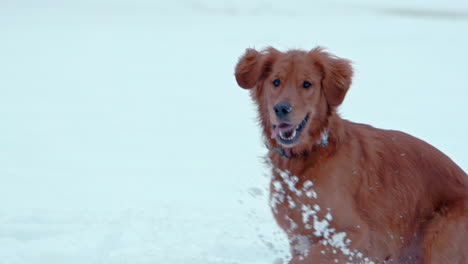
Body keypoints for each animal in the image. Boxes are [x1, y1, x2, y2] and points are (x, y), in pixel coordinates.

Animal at [234, 48, 468, 264]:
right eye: (276, 82)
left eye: (307, 84)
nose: (281, 108)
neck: (308, 155)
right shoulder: (300, 237)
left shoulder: (354, 235)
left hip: (440, 241)